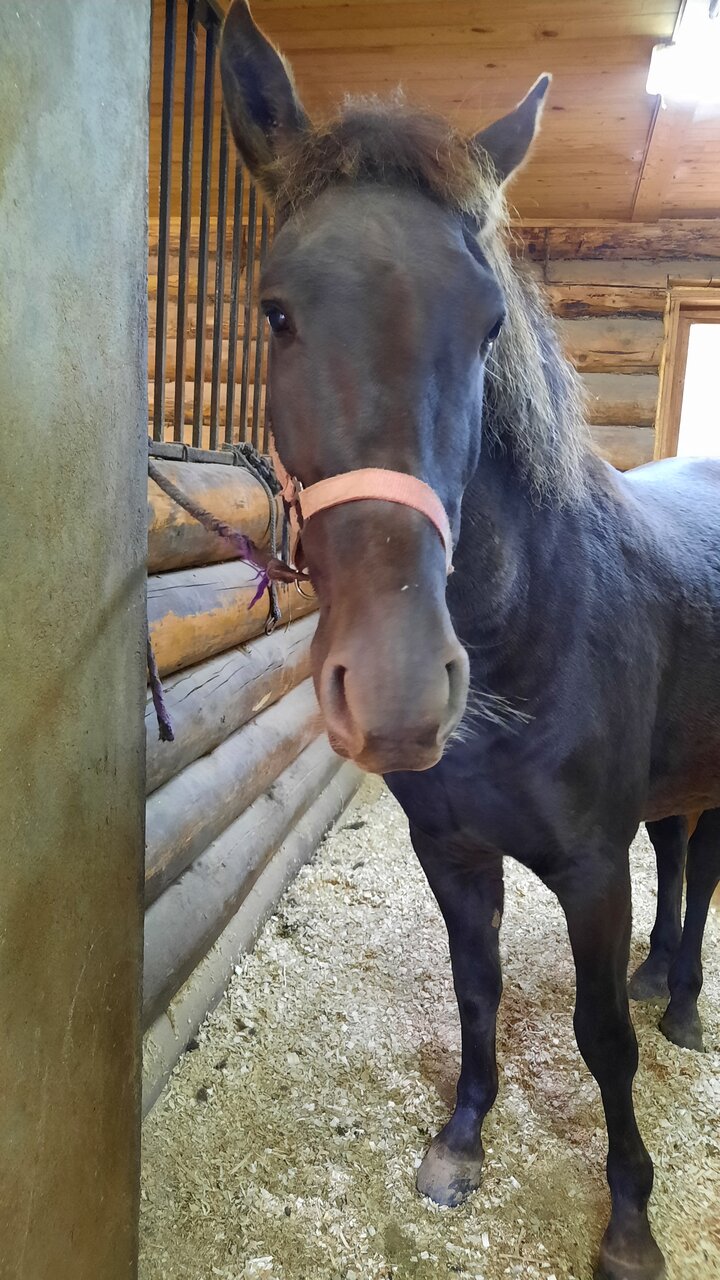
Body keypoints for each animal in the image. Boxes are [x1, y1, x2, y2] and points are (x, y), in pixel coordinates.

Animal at [220, 5, 720, 1277]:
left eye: (490, 322)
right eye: (277, 312)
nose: (400, 690)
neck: (528, 635)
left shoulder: (591, 866)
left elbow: (601, 1038)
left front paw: (630, 1216)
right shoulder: (451, 851)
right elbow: (477, 989)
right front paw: (459, 1144)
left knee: (704, 875)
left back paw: (685, 1004)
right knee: (686, 854)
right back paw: (666, 973)